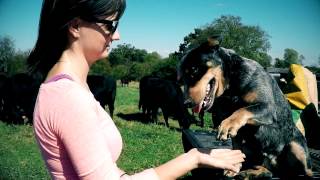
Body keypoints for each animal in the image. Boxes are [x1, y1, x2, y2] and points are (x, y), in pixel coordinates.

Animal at [179, 37, 314, 179]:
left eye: (194, 70)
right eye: (181, 79)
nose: (186, 103)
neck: (232, 84)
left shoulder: (267, 108)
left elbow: (242, 110)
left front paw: (227, 124)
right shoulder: (238, 135)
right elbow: (237, 150)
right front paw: (233, 169)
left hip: (296, 147)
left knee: (304, 171)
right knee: (268, 170)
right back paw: (252, 172)